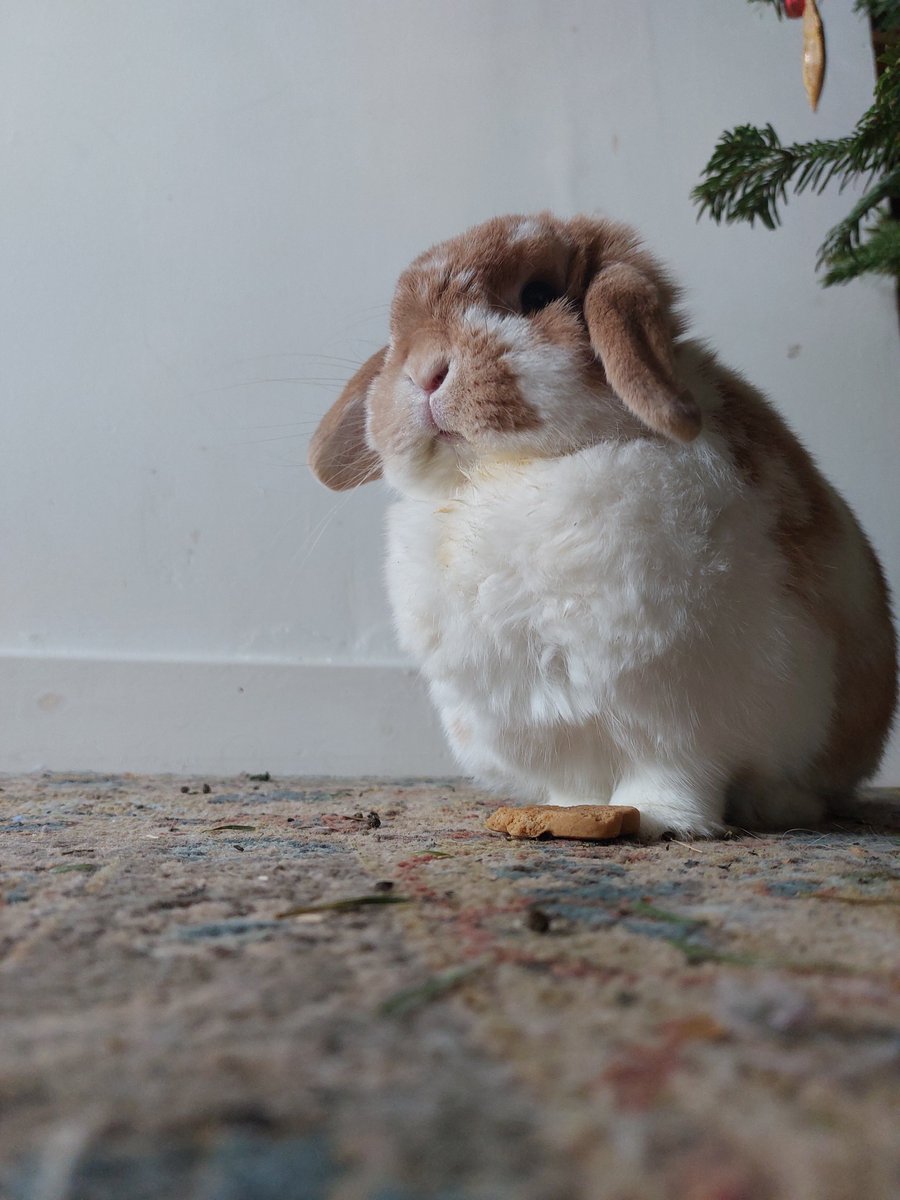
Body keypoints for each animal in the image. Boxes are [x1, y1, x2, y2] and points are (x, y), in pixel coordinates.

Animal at [309, 213, 897, 835]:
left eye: (537, 294)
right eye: (398, 333)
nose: (424, 372)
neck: (505, 472)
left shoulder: (684, 723)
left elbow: (673, 777)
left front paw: (661, 820)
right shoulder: (556, 724)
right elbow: (575, 782)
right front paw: (568, 813)